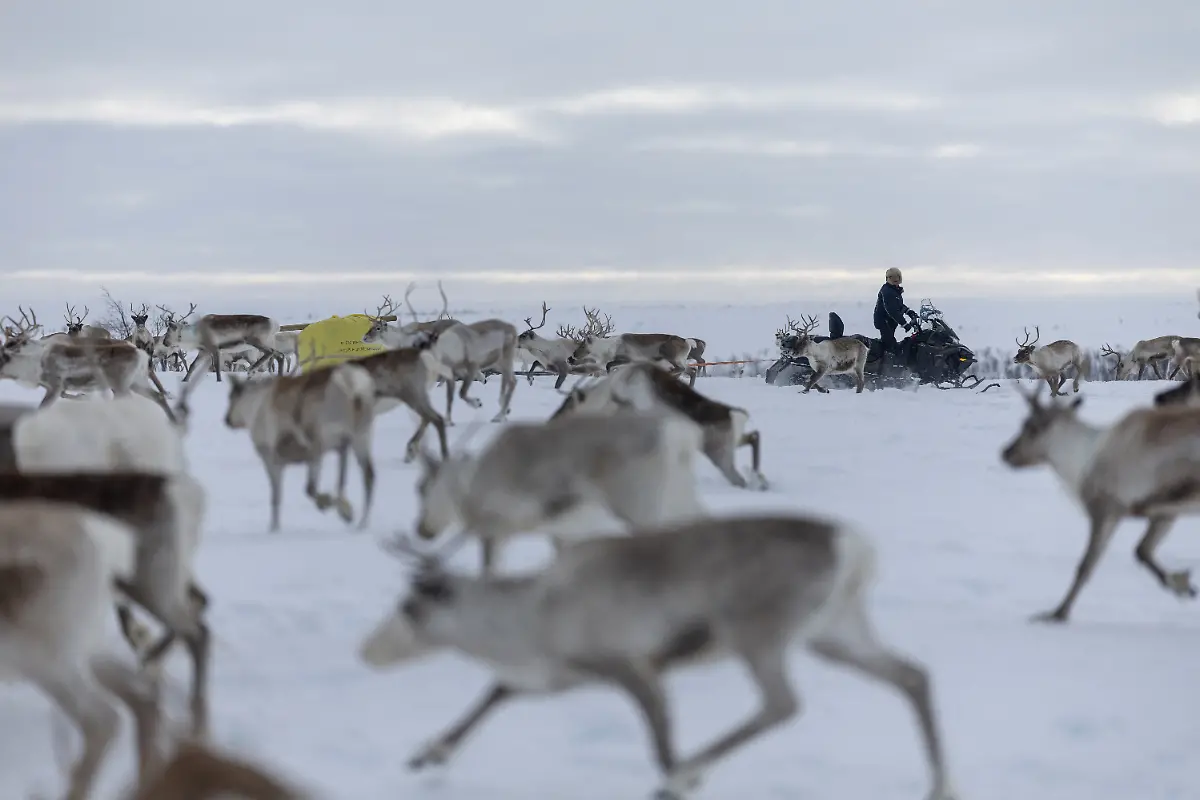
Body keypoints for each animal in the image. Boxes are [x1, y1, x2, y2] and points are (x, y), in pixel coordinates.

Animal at [222, 362, 377, 532]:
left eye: (231, 397)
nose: (227, 419)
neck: (253, 406)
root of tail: (353, 386)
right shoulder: (340, 447)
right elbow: (341, 482)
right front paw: (345, 508)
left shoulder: (271, 457)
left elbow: (276, 496)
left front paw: (274, 528)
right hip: (360, 435)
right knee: (369, 475)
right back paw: (361, 523)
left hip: (320, 439)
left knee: (311, 487)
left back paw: (333, 507)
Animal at [360, 514, 958, 800]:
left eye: (410, 607)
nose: (367, 652)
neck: (530, 614)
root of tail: (855, 548)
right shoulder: (562, 674)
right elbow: (498, 690)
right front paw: (429, 752)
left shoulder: (633, 667)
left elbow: (661, 741)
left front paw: (682, 779)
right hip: (834, 633)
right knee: (913, 676)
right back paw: (941, 786)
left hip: (758, 634)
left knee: (781, 705)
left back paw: (685, 776)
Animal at [409, 409, 706, 575]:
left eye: (421, 488)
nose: (420, 530)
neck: (468, 482)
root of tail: (680, 437)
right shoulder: (561, 533)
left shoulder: (493, 530)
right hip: (680, 502)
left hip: (642, 511)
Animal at [552, 362, 766, 490]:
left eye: (569, 402)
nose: (554, 418)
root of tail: (736, 415)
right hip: (733, 442)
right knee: (754, 436)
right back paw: (760, 478)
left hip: (720, 453)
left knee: (738, 477)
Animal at [1000, 385, 1200, 622]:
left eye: (1029, 426)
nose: (1006, 453)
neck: (1082, 461)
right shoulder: (1164, 512)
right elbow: (1142, 551)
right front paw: (1184, 585)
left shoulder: (1105, 510)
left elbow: (1085, 566)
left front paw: (1057, 614)